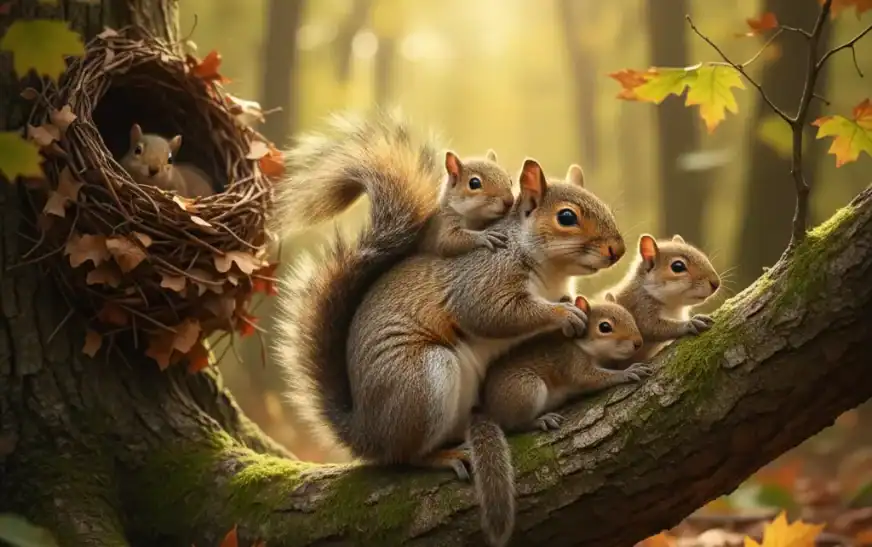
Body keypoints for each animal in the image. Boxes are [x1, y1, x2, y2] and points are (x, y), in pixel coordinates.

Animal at [276, 109, 625, 547]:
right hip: (422, 380)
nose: (618, 249)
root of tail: (365, 430)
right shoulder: (480, 280)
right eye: (567, 218)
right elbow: (492, 314)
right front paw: (563, 317)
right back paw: (442, 457)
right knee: (404, 458)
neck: (549, 271)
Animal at [482, 294, 653, 433]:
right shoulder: (572, 361)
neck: (581, 345)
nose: (638, 342)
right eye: (605, 327)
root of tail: (490, 408)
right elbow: (588, 378)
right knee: (514, 425)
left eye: (629, 316)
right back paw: (539, 420)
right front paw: (627, 372)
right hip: (525, 388)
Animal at [601, 233, 721, 363]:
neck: (673, 306)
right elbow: (652, 328)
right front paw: (689, 323)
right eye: (678, 267)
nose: (716, 283)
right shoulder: (640, 307)